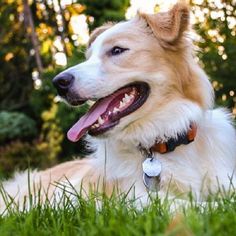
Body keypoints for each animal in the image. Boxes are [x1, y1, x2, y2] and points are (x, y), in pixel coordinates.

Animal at [0, 1, 236, 212]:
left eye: (117, 50)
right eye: (89, 57)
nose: (58, 83)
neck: (164, 139)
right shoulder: (132, 199)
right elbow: (193, 205)